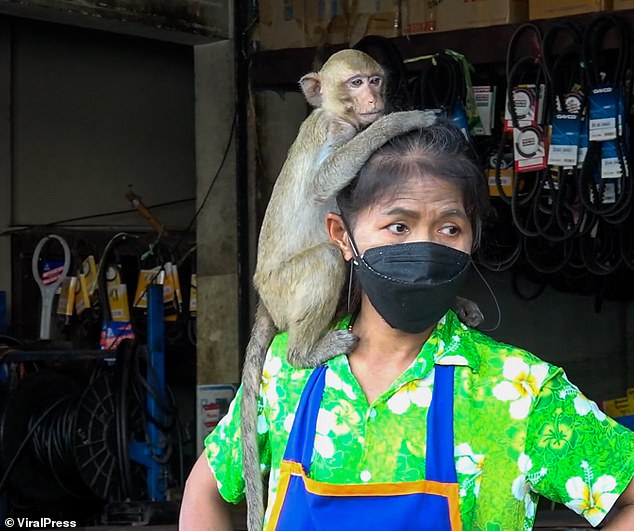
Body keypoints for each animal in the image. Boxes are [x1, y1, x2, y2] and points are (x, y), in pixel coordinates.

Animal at [237, 47, 478, 528]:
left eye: (374, 80)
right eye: (355, 83)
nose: (374, 98)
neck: (338, 113)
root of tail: (265, 302)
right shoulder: (335, 131)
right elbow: (324, 182)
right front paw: (402, 120)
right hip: (284, 289)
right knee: (329, 259)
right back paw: (305, 352)